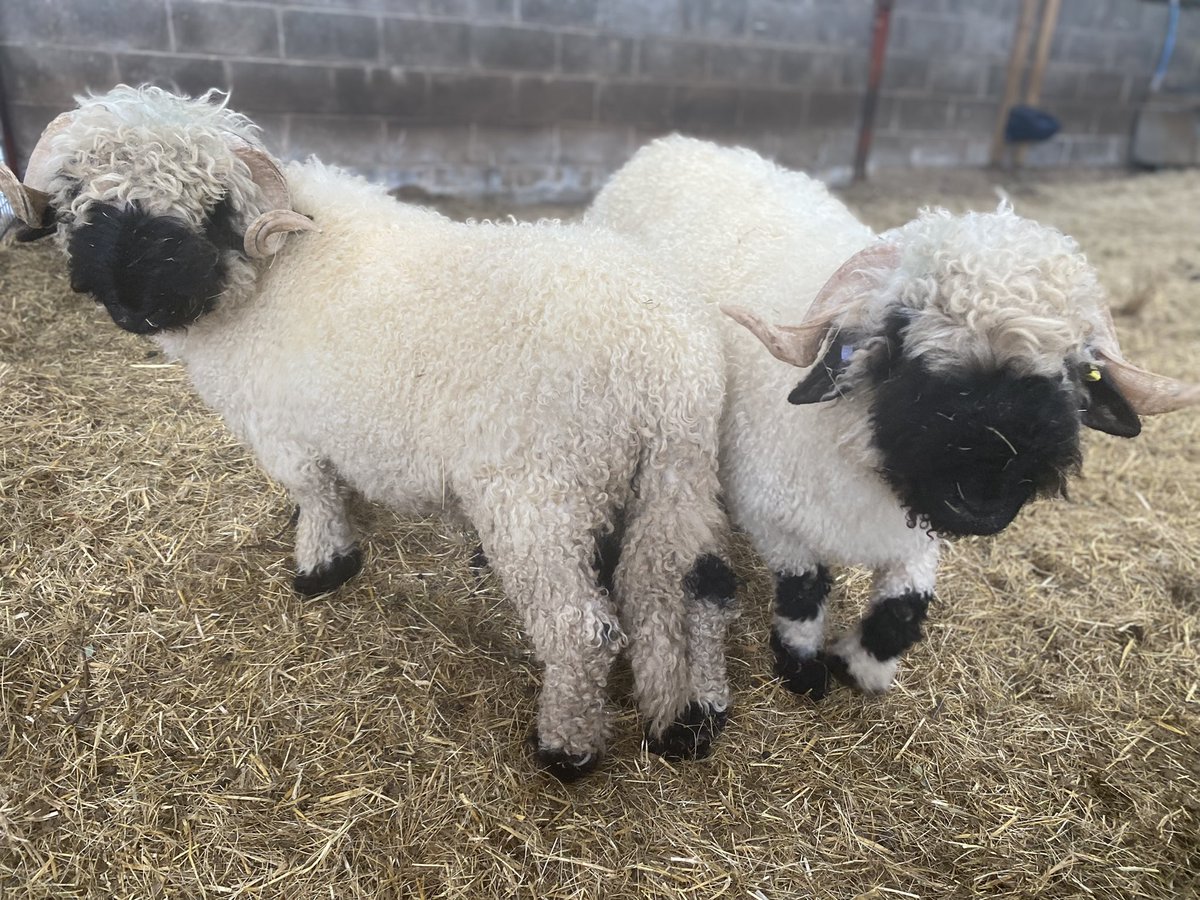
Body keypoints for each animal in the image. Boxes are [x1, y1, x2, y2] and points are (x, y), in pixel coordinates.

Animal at [0, 88, 739, 779]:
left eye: (212, 206)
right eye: (79, 196)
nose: (133, 303)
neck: (266, 276)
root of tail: (666, 361)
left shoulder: (283, 429)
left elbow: (316, 493)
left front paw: (322, 564)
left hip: (539, 491)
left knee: (583, 631)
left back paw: (567, 746)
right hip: (677, 476)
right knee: (683, 588)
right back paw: (687, 719)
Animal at [586, 135, 1200, 699]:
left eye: (1078, 369)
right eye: (902, 334)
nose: (993, 469)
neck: (867, 464)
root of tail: (674, 143)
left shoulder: (916, 542)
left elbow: (903, 609)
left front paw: (861, 666)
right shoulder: (770, 512)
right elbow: (805, 590)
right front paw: (803, 668)